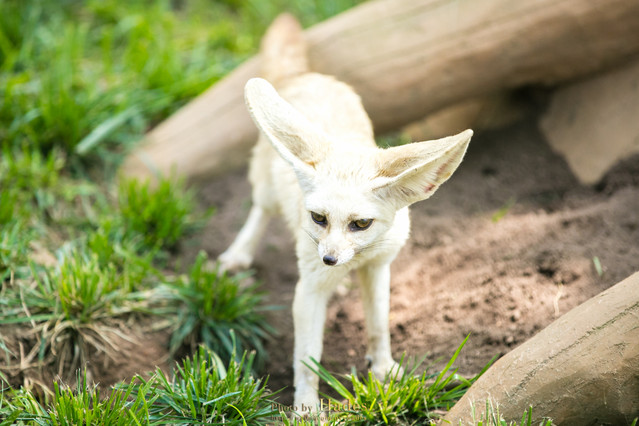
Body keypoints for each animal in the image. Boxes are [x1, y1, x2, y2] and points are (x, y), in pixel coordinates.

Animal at [220, 15, 476, 412]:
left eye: (361, 224)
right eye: (318, 218)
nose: (329, 258)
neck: (359, 258)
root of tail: (306, 75)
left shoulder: (379, 268)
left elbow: (378, 326)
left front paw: (384, 370)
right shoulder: (308, 289)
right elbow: (307, 357)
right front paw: (306, 407)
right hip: (266, 187)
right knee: (259, 211)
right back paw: (239, 254)